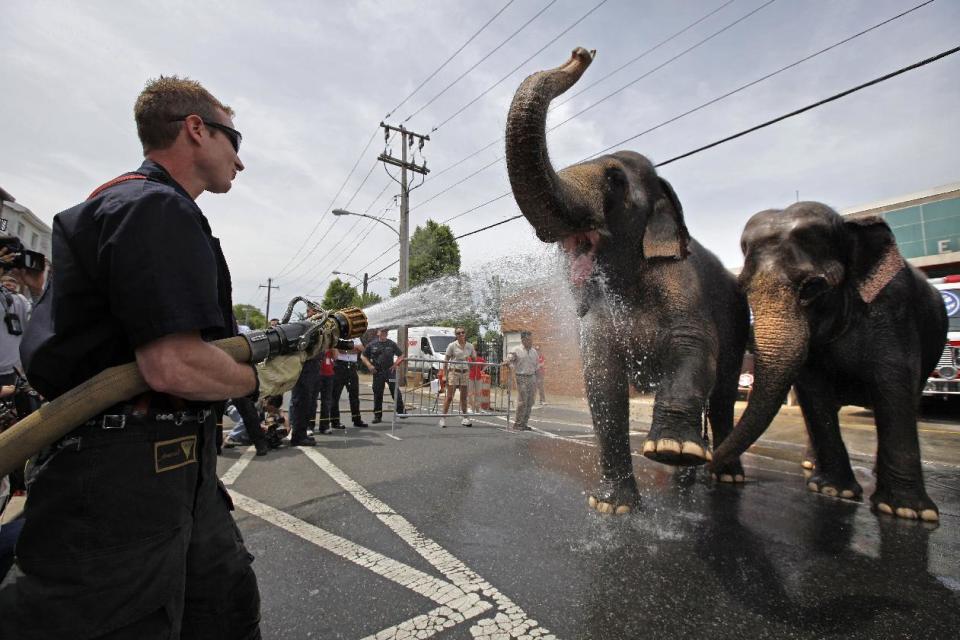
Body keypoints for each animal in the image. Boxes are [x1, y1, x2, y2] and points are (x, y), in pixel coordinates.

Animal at [502, 46, 752, 516]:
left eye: (616, 180)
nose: (582, 52)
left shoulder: (682, 282)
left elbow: (693, 345)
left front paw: (671, 449)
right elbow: (601, 380)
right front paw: (612, 508)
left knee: (726, 391)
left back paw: (721, 473)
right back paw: (689, 477)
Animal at [712, 202, 944, 524]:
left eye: (813, 287)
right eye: (744, 289)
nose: (706, 462)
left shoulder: (894, 307)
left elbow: (893, 382)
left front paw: (906, 511)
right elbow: (814, 390)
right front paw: (834, 491)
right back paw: (812, 466)